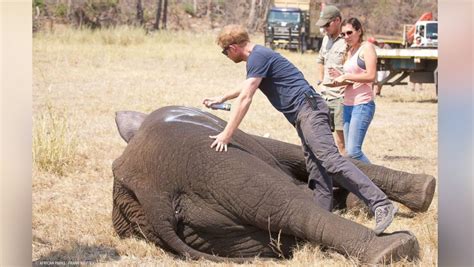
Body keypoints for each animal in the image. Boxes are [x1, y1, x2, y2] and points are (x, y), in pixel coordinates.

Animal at [112, 105, 436, 264]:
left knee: (281, 234)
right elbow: (295, 153)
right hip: (211, 161)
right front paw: (426, 189)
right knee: (288, 204)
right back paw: (396, 249)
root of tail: (152, 197)